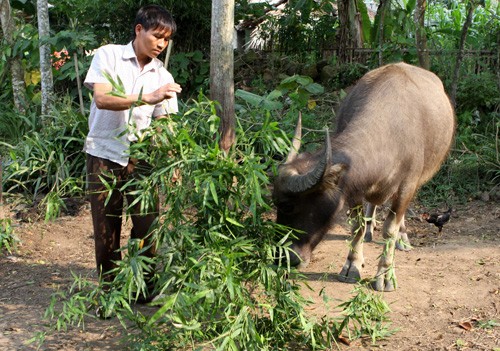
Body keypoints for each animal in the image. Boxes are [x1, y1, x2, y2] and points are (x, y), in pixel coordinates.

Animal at [272, 62, 456, 292]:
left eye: (287, 205)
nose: (281, 258)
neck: (390, 134)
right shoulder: (354, 190)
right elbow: (356, 226)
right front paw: (352, 264)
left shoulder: (407, 186)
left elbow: (390, 229)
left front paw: (385, 274)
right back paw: (370, 227)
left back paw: (402, 237)